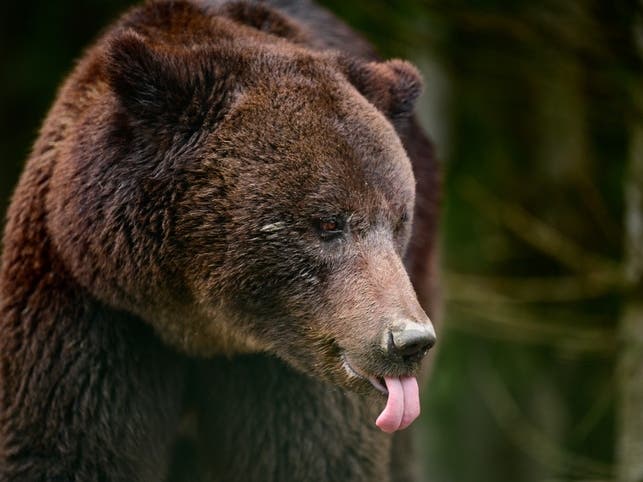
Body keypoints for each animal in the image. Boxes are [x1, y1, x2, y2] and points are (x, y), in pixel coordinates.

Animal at [0, 1, 440, 481]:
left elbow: (315, 455)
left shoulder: (289, 371)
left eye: (398, 220)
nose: (409, 340)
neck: (200, 324)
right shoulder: (89, 306)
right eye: (328, 223)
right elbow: (64, 449)